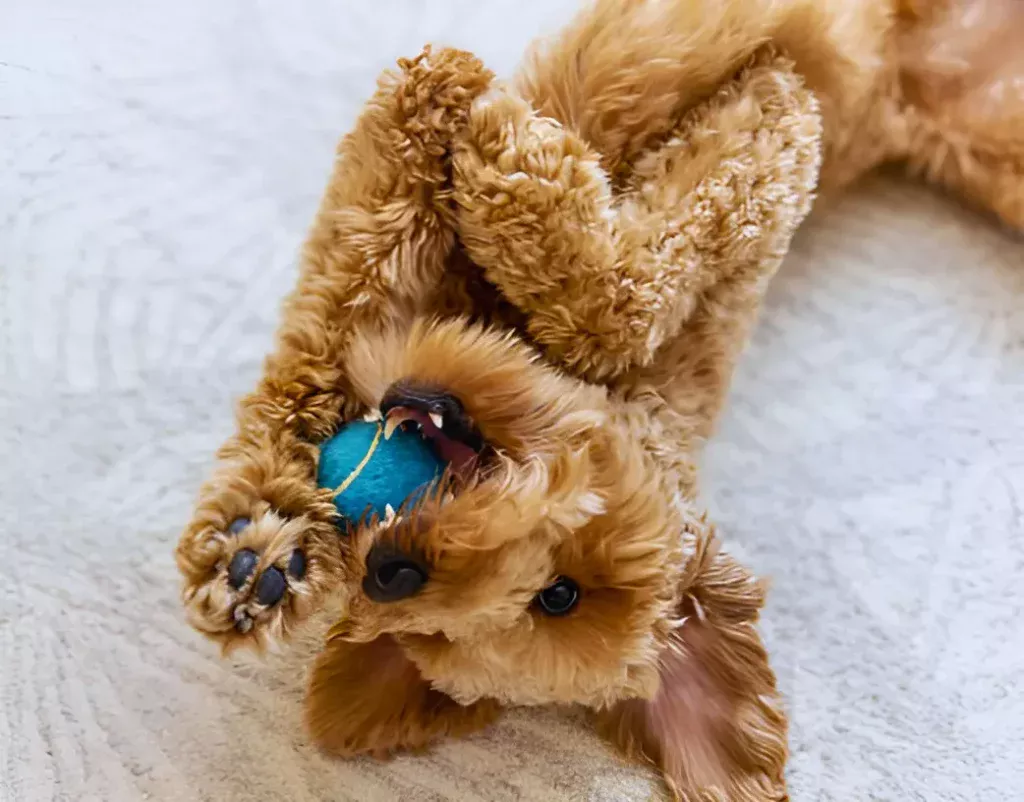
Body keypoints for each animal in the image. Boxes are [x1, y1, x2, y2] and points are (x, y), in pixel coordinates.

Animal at [174, 0, 1015, 794]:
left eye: (554, 598)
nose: (392, 568)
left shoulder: (776, 132)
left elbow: (616, 305)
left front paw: (504, 152)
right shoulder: (781, 126)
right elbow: (324, 336)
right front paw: (256, 541)